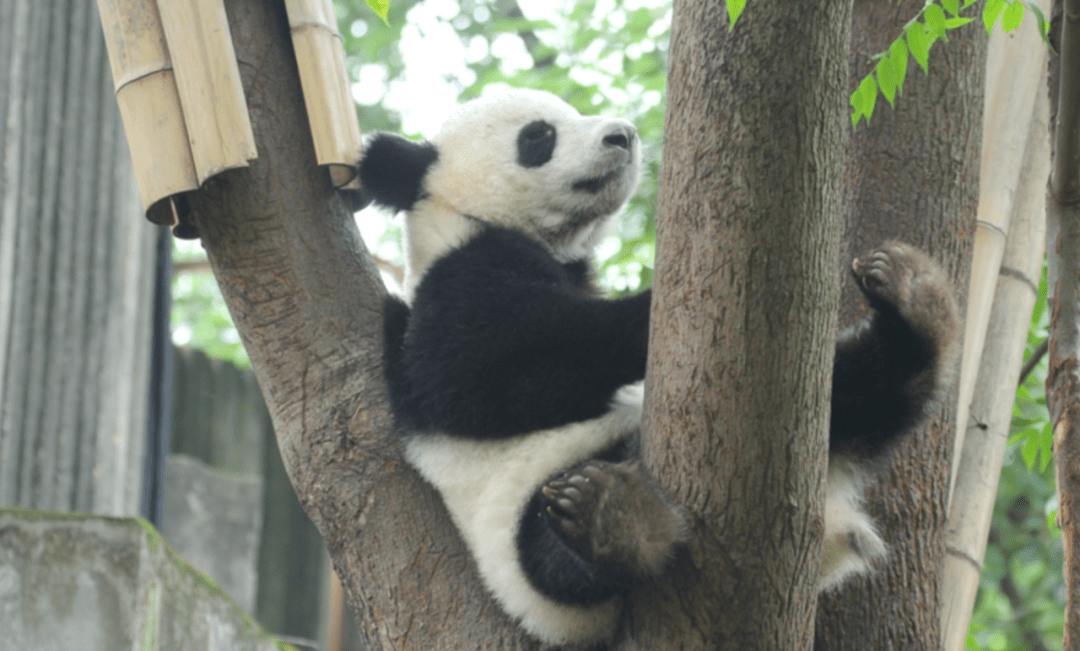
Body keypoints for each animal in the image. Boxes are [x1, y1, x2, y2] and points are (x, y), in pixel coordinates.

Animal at [358, 89, 959, 647]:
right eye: (539, 136)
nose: (621, 135)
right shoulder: (457, 278)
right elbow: (470, 373)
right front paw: (656, 307)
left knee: (860, 388)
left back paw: (918, 306)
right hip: (528, 535)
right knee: (552, 550)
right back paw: (616, 520)